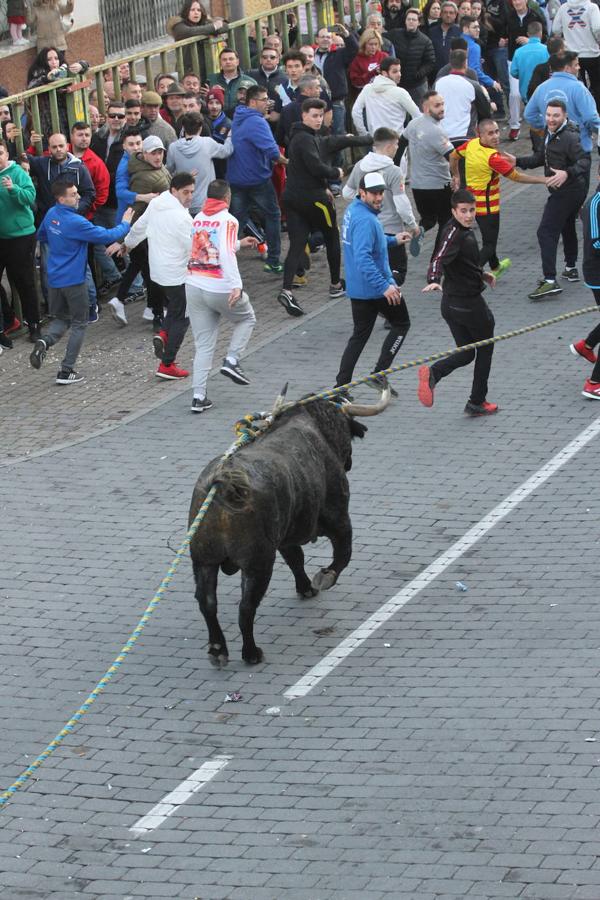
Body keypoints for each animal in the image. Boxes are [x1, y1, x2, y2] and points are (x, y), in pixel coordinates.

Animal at [190, 390, 392, 664]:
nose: (349, 461)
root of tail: (223, 485)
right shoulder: (339, 517)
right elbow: (343, 553)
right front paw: (324, 578)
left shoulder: (285, 536)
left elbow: (296, 558)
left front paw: (305, 587)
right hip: (258, 564)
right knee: (246, 606)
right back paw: (251, 653)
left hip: (204, 561)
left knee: (207, 603)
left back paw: (218, 649)